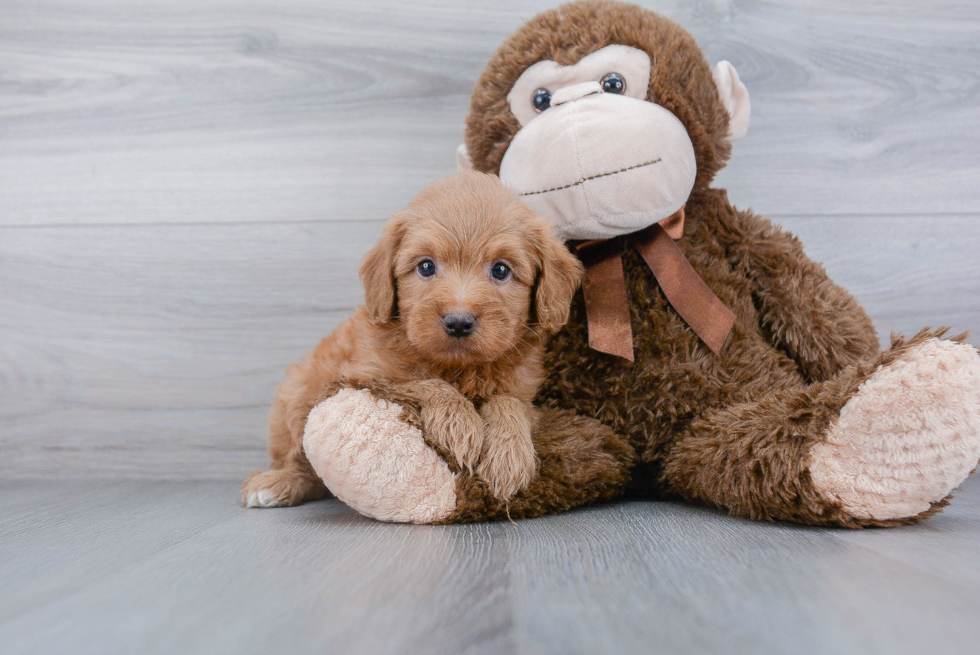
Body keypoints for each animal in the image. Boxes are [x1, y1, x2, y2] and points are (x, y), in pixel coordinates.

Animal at [243, 173, 580, 508]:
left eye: (501, 270)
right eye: (426, 266)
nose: (458, 322)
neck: (460, 368)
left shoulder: (523, 390)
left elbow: (510, 403)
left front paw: (508, 456)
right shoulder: (364, 374)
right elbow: (420, 381)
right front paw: (458, 423)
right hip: (296, 396)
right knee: (299, 459)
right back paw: (277, 483)